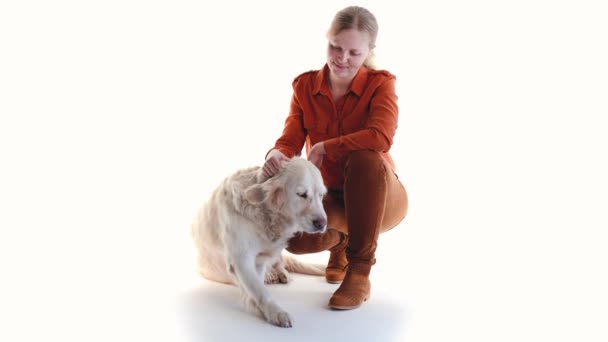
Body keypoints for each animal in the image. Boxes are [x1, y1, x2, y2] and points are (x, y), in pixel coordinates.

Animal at [192, 157, 330, 326]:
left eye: (321, 195)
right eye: (301, 194)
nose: (322, 223)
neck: (264, 213)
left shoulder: (260, 259)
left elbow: (258, 284)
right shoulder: (241, 259)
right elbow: (259, 289)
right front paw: (275, 312)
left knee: (281, 264)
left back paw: (280, 274)